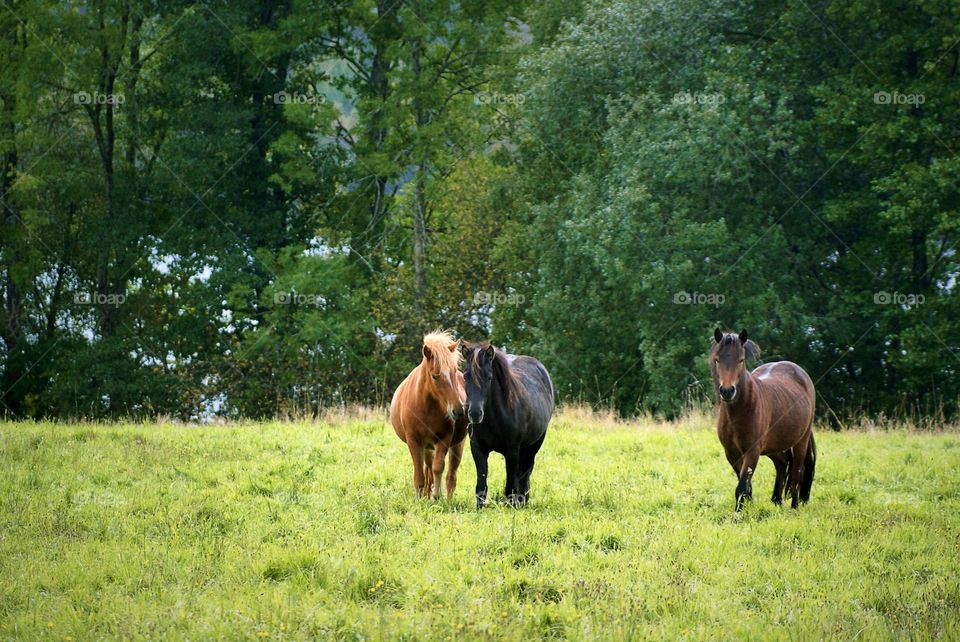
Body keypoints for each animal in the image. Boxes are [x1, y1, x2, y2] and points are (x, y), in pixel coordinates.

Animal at [388, 330, 466, 500]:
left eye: (454, 371)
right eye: (435, 376)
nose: (458, 411)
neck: (426, 407)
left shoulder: (444, 439)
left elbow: (438, 468)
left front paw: (436, 496)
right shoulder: (414, 440)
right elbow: (419, 473)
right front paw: (419, 498)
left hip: (457, 444)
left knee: (451, 474)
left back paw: (447, 498)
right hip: (427, 446)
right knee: (427, 467)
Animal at [464, 342, 556, 508]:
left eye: (489, 377)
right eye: (465, 376)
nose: (474, 414)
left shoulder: (512, 450)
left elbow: (511, 485)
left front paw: (512, 506)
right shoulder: (477, 448)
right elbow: (481, 484)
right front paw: (479, 508)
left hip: (535, 444)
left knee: (525, 472)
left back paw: (522, 501)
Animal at [708, 328, 812, 508]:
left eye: (741, 360)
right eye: (717, 359)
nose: (727, 391)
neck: (738, 412)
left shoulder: (752, 451)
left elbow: (742, 487)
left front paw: (739, 513)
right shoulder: (731, 453)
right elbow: (745, 486)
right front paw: (748, 507)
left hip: (801, 440)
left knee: (797, 472)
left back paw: (794, 507)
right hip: (774, 444)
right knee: (782, 464)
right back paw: (777, 500)